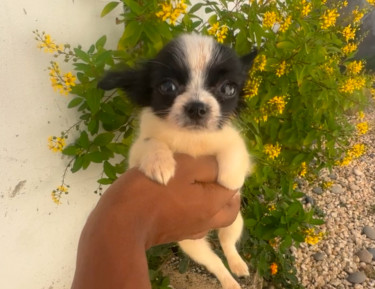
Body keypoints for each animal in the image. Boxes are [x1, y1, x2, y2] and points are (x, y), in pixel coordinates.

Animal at [100, 33, 258, 288]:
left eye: (228, 88)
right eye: (168, 86)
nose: (197, 107)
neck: (190, 138)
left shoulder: (233, 140)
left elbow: (234, 152)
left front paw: (230, 180)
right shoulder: (137, 151)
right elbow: (150, 143)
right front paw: (160, 163)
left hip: (234, 221)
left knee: (227, 243)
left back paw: (237, 266)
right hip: (192, 244)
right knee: (214, 261)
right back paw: (228, 280)